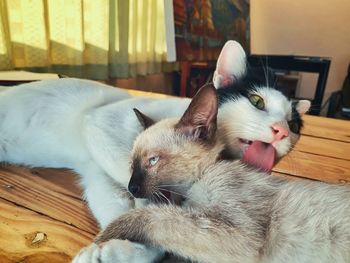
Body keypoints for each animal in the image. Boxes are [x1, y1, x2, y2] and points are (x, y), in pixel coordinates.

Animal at [76, 85, 350, 263]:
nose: (132, 188)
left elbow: (152, 216)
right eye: (132, 165)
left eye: (152, 161)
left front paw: (97, 243)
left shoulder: (236, 235)